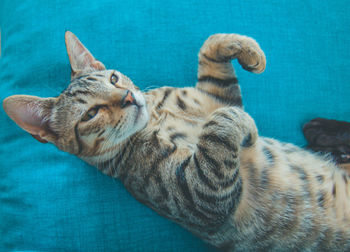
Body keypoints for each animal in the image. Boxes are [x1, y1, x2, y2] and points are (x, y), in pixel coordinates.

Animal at [2, 31, 350, 250]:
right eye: (90, 114)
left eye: (113, 78)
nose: (128, 97)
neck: (156, 114)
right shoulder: (201, 194)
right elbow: (221, 124)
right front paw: (245, 126)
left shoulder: (215, 96)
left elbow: (211, 47)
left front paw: (249, 52)